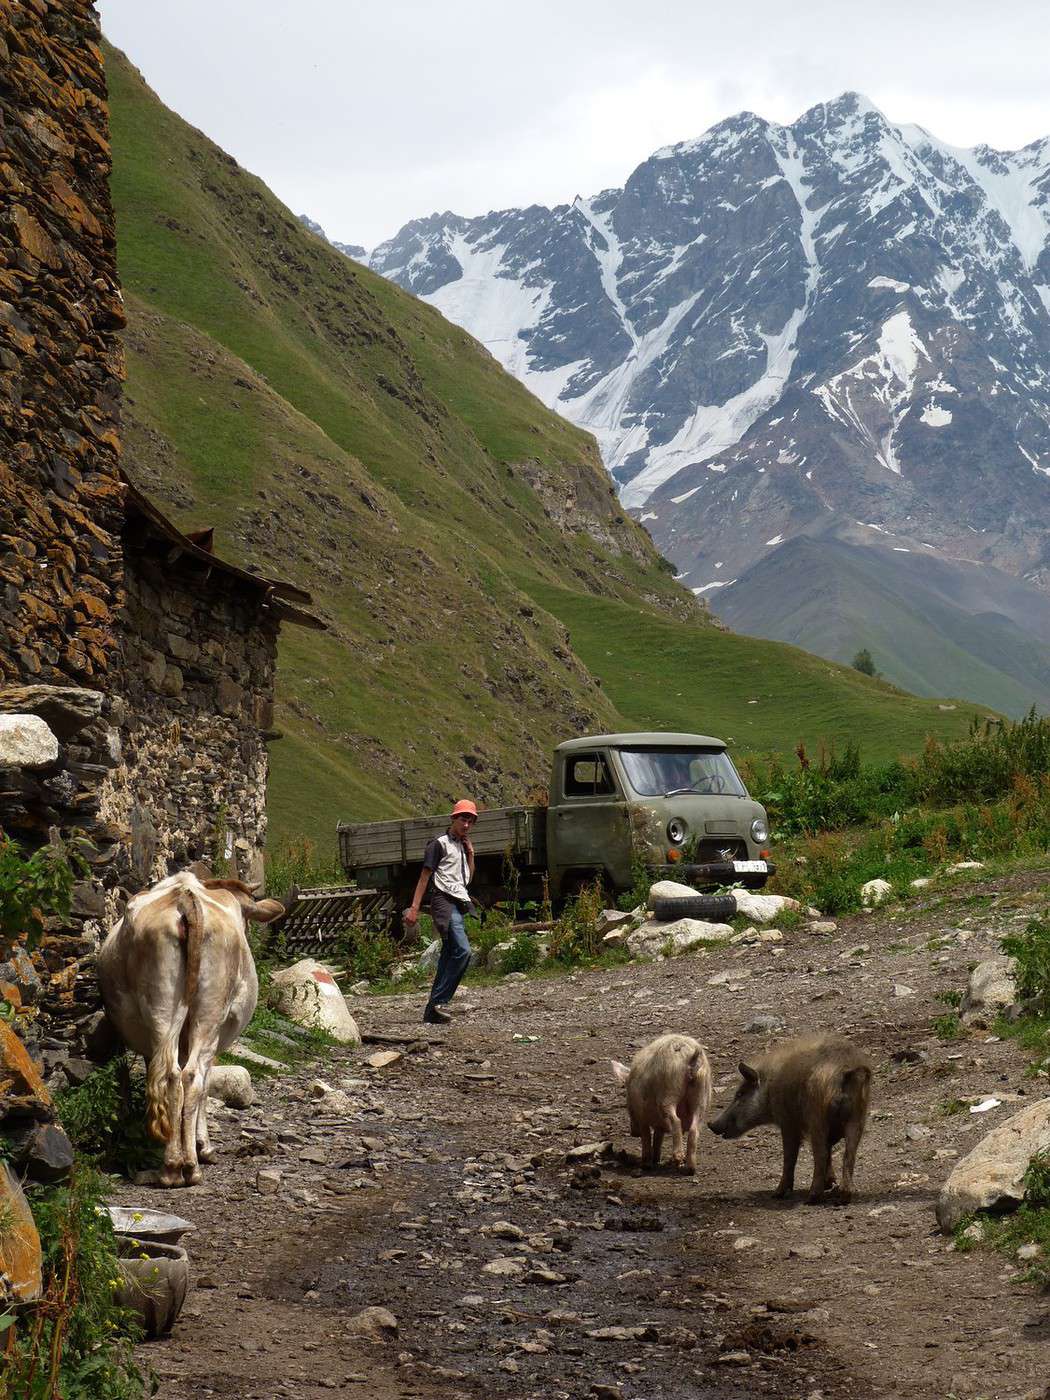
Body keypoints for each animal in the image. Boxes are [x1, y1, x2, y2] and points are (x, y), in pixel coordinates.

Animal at [98, 868, 284, 1187]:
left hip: (162, 1009)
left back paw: (173, 1164)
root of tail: (185, 898)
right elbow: (207, 1086)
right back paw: (189, 1165)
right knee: (193, 1077)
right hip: (209, 1016)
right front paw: (201, 1145)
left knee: (172, 1075)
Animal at [607, 1030, 716, 1170]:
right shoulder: (658, 1124)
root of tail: (692, 1056)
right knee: (694, 1128)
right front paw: (656, 1161)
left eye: (626, 1101)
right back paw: (690, 1168)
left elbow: (646, 1137)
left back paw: (678, 1158)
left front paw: (646, 1164)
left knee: (676, 1121)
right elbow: (658, 1139)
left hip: (669, 1092)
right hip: (702, 1094)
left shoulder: (642, 1115)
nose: (633, 1133)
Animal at [711, 1030, 873, 1204]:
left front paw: (776, 1194)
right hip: (857, 1116)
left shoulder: (788, 1122)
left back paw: (811, 1198)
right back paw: (843, 1197)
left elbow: (789, 1157)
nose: (711, 1124)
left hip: (817, 1116)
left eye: (740, 1094)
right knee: (848, 1153)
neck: (770, 1089)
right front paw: (829, 1184)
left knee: (820, 1154)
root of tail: (844, 1069)